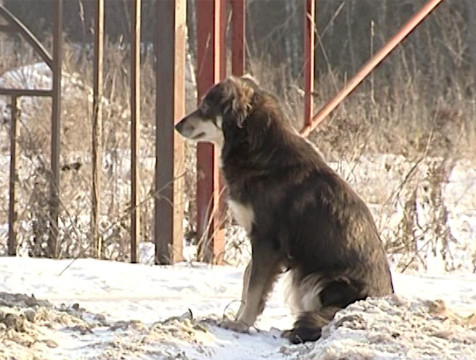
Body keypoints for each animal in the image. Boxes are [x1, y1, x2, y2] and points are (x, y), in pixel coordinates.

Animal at [176, 74, 394, 342]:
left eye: (206, 106)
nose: (177, 125)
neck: (260, 150)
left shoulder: (267, 241)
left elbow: (254, 286)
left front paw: (241, 324)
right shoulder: (260, 242)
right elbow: (248, 278)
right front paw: (239, 317)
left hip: (316, 280)